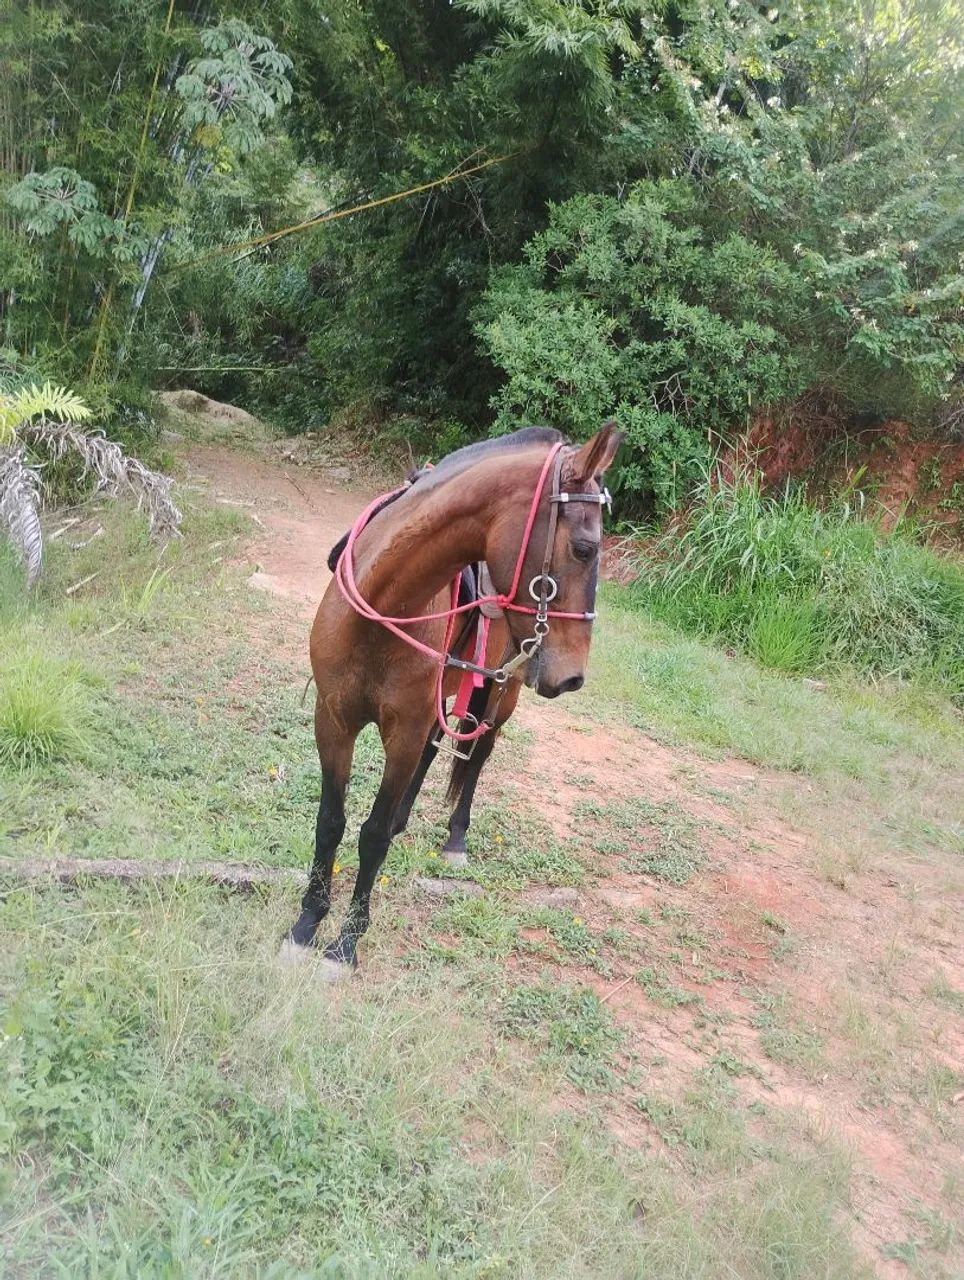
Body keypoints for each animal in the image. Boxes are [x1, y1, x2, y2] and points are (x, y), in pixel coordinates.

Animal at [284, 422, 622, 977]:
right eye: (584, 549)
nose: (574, 676)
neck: (381, 606)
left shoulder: (403, 729)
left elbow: (372, 835)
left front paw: (347, 941)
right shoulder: (332, 718)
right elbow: (331, 822)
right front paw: (307, 921)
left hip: (503, 693)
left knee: (478, 753)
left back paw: (456, 837)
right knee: (436, 748)